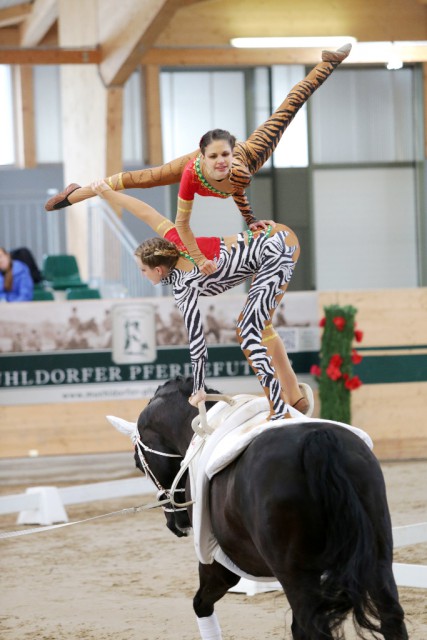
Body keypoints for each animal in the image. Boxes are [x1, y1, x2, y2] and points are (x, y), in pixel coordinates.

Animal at [132, 378, 406, 636]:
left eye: (138, 462)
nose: (175, 524)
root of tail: (318, 440)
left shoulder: (216, 562)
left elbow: (200, 604)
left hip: (295, 574)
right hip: (377, 558)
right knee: (391, 616)